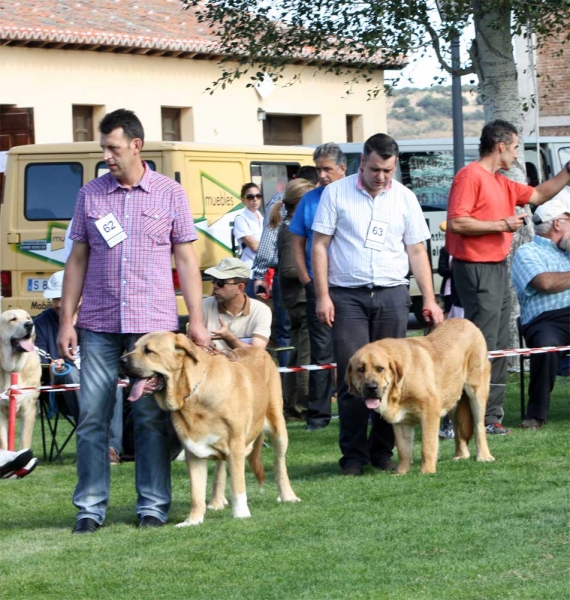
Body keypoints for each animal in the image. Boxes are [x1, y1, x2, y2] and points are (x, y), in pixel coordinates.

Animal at [0, 310, 41, 450]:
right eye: (13, 319)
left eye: (28, 318)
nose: (30, 324)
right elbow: (4, 444)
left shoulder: (29, 409)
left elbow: (25, 441)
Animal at [118, 336, 300, 528]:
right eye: (134, 347)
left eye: (149, 351)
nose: (121, 361)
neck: (194, 393)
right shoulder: (193, 452)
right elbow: (196, 493)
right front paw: (193, 520)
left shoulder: (235, 445)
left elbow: (237, 486)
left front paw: (241, 514)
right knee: (220, 469)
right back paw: (216, 501)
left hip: (278, 427)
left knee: (279, 463)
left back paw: (288, 496)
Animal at [344, 318, 494, 474]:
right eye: (361, 369)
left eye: (380, 369)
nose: (371, 387)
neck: (399, 384)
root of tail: (467, 322)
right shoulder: (401, 422)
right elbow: (403, 451)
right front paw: (401, 473)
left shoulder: (430, 411)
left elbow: (427, 446)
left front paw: (427, 472)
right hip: (453, 401)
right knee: (459, 429)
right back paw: (461, 455)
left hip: (476, 392)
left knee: (479, 427)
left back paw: (484, 456)